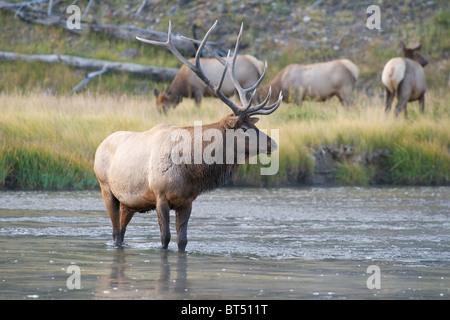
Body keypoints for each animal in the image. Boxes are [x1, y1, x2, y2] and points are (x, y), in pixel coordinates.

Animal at [93, 21, 284, 252]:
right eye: (244, 129)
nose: (273, 143)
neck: (189, 167)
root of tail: (99, 146)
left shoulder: (187, 201)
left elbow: (182, 241)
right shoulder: (160, 196)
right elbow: (165, 239)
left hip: (128, 203)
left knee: (120, 232)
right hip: (106, 188)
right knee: (115, 232)